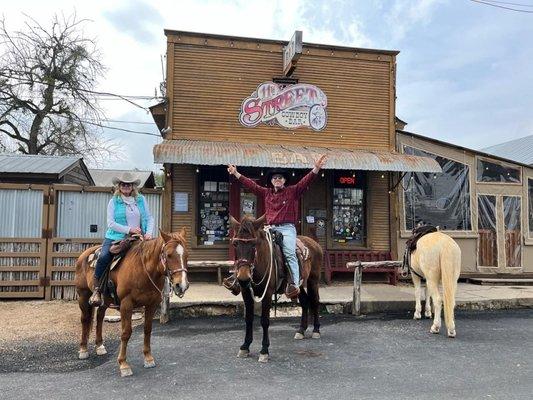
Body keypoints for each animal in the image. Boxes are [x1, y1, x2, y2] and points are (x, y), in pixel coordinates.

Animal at [74, 230, 190, 376]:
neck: (143, 270)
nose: (182, 285)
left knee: (100, 317)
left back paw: (100, 346)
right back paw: (83, 350)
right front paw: (123, 364)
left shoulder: (151, 305)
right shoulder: (126, 305)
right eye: (168, 255)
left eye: (186, 255)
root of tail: (84, 254)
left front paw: (148, 358)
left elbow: (147, 330)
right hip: (83, 295)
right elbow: (126, 333)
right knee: (85, 320)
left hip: (105, 300)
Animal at [230, 216, 322, 362]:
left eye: (254, 244)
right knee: (305, 301)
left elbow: (265, 321)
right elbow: (248, 319)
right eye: (235, 244)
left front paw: (264, 350)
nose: (243, 278)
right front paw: (245, 347)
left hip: (313, 280)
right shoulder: (246, 293)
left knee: (315, 301)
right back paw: (301, 330)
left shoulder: (267, 293)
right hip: (299, 285)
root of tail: (314, 243)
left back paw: (316, 330)